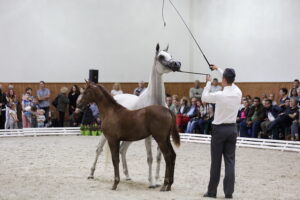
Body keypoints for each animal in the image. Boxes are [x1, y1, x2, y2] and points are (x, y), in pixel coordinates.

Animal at [86, 43, 180, 188]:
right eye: (161, 56)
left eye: (171, 55)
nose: (177, 64)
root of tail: (116, 96)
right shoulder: (149, 137)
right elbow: (150, 158)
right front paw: (151, 182)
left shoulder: (161, 136)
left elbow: (159, 158)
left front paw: (158, 181)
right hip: (105, 136)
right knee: (99, 149)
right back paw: (91, 174)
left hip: (129, 137)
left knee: (122, 150)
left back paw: (127, 175)